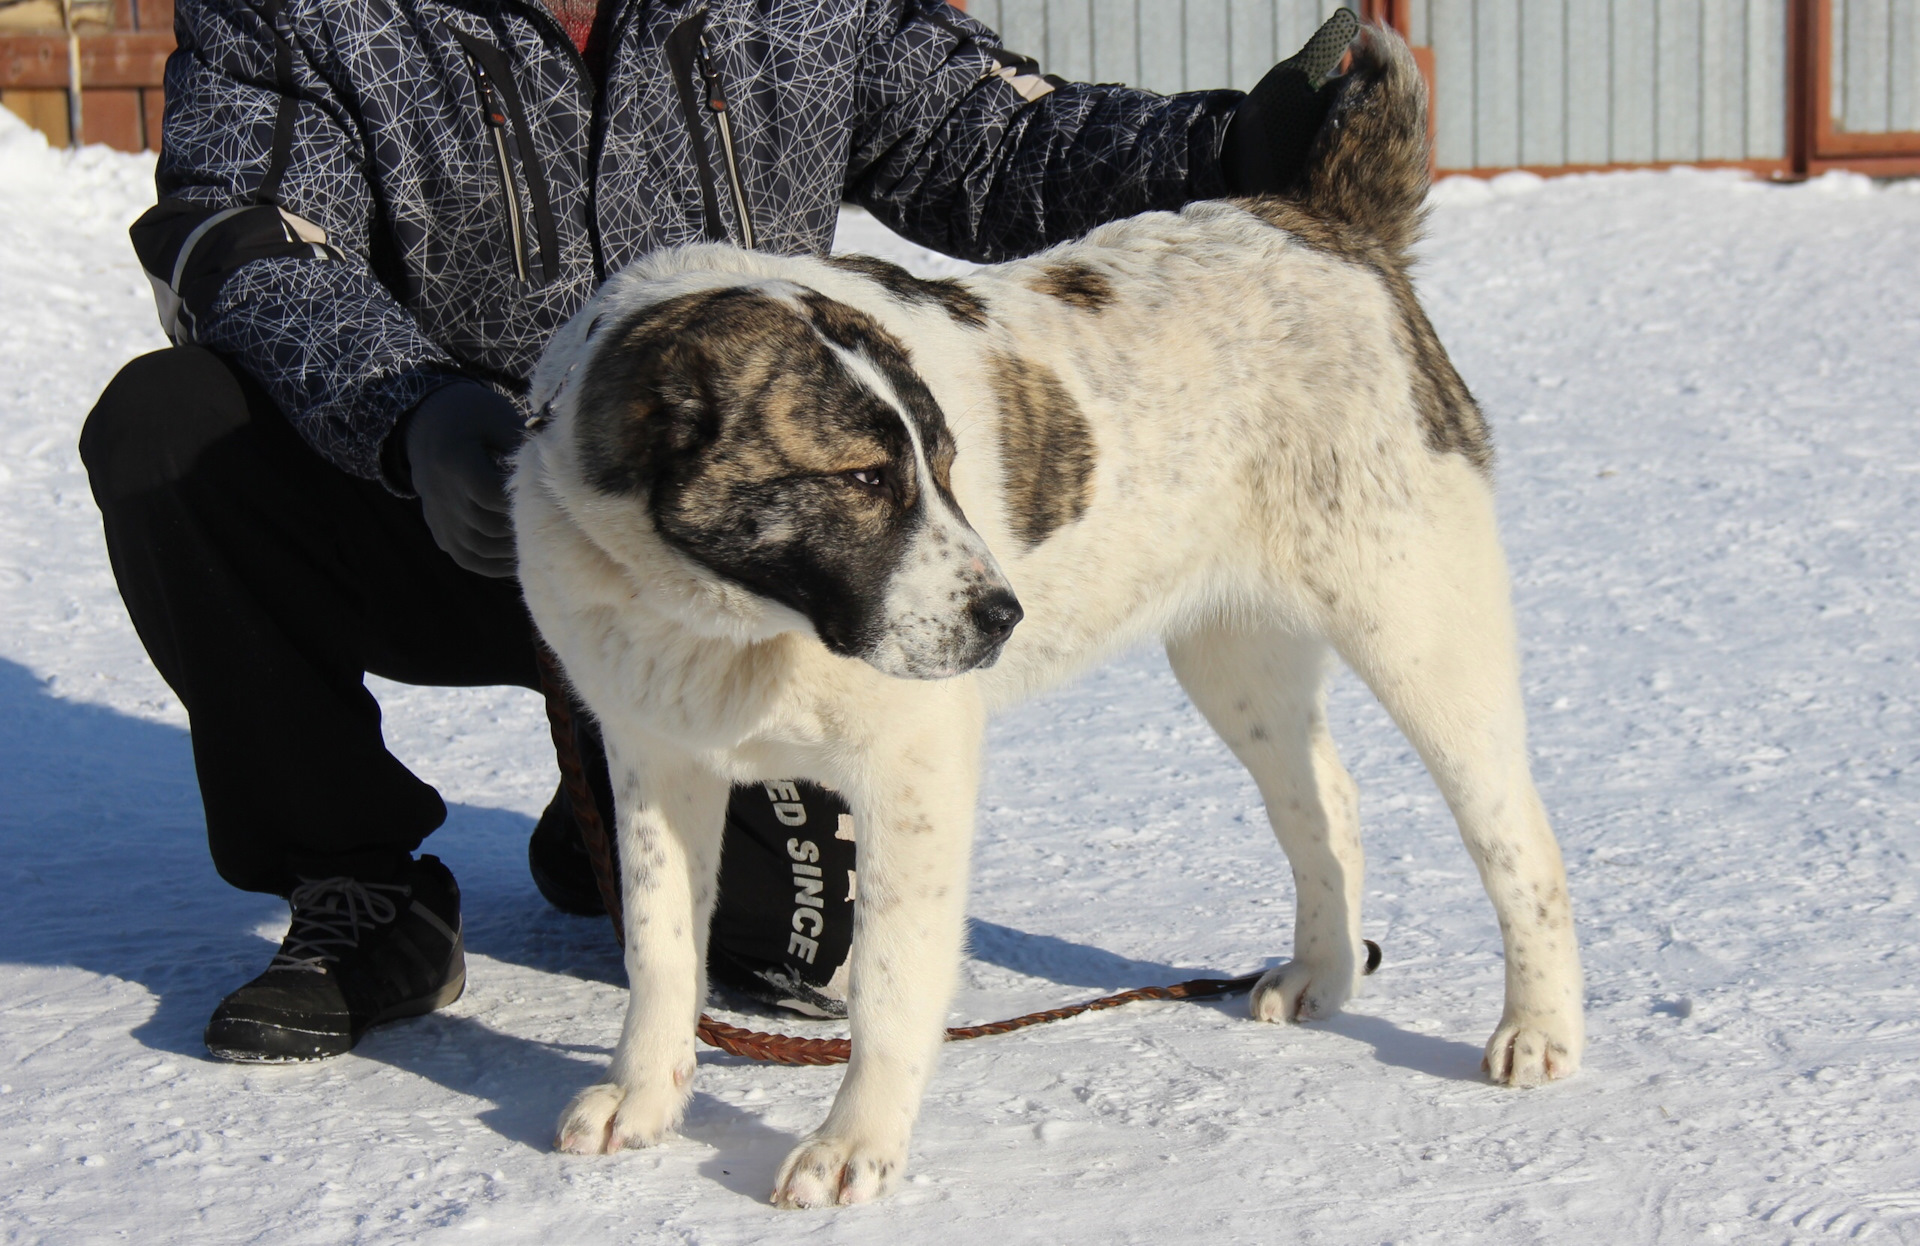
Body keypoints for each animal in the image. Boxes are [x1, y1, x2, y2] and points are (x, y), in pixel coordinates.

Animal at [506, 31, 1574, 1205]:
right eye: (865, 478)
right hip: (1235, 660)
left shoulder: (912, 771)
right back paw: (1322, 975)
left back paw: (1539, 1031)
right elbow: (658, 947)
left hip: (1419, 623)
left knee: (1519, 840)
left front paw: (854, 1145)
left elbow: (888, 976)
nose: (1002, 618)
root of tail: (1326, 220)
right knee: (1324, 802)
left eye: (947, 464)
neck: (723, 615)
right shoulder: (657, 757)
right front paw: (644, 1100)